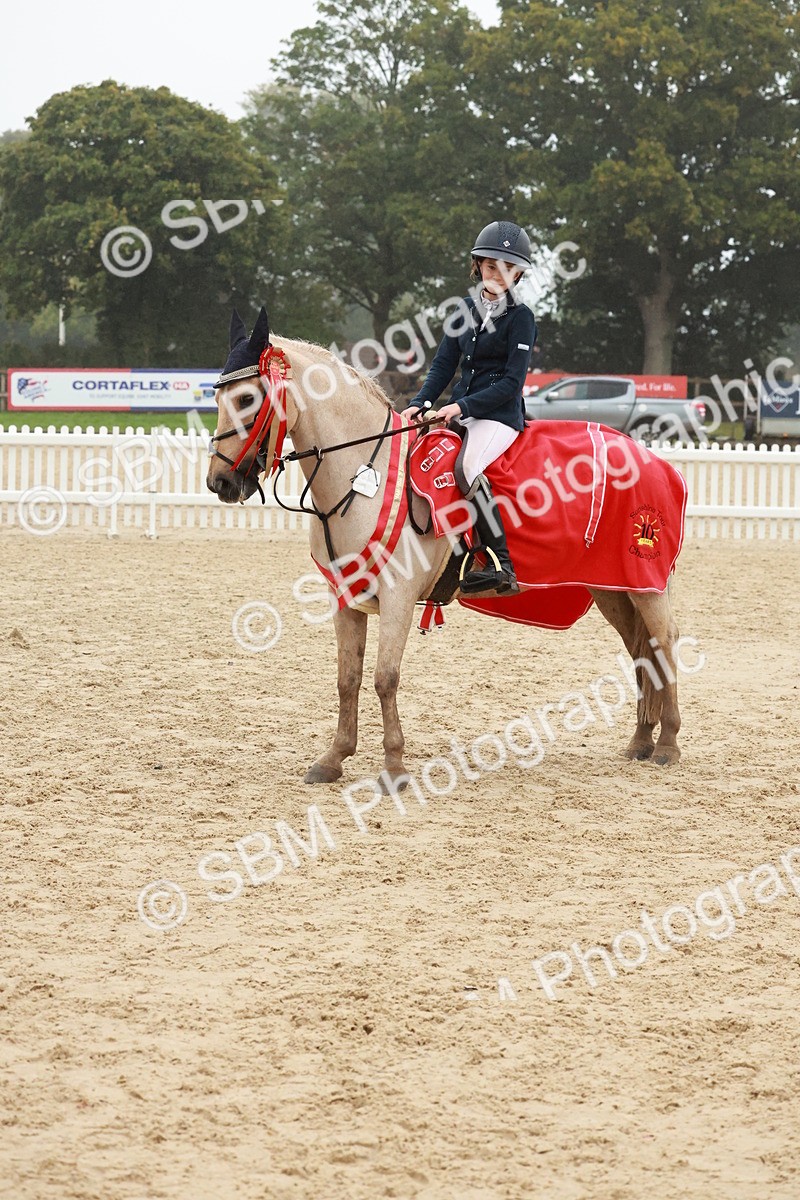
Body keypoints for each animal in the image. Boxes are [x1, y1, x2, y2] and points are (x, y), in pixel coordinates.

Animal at [206, 309, 684, 789]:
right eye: (218, 398)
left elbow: (385, 677)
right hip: (612, 589)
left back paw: (667, 745)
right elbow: (348, 678)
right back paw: (641, 741)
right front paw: (335, 757)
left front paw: (394, 767)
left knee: (664, 642)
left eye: (247, 398)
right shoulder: (345, 598)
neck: (363, 476)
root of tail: (657, 462)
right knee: (641, 650)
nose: (220, 483)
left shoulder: (397, 597)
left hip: (645, 585)